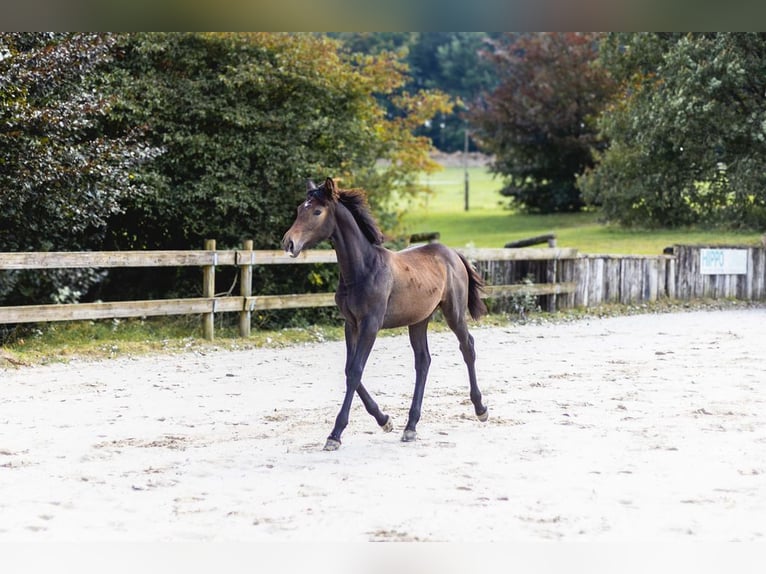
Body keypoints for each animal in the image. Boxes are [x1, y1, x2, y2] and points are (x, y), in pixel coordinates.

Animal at [284, 178, 492, 452]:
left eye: (317, 211)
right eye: (300, 209)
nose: (289, 243)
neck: (363, 269)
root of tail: (452, 253)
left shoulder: (370, 325)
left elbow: (355, 371)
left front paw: (335, 434)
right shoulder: (350, 324)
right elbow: (349, 369)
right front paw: (385, 420)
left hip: (454, 313)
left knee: (467, 347)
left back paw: (480, 409)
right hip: (418, 320)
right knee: (423, 361)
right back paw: (410, 426)